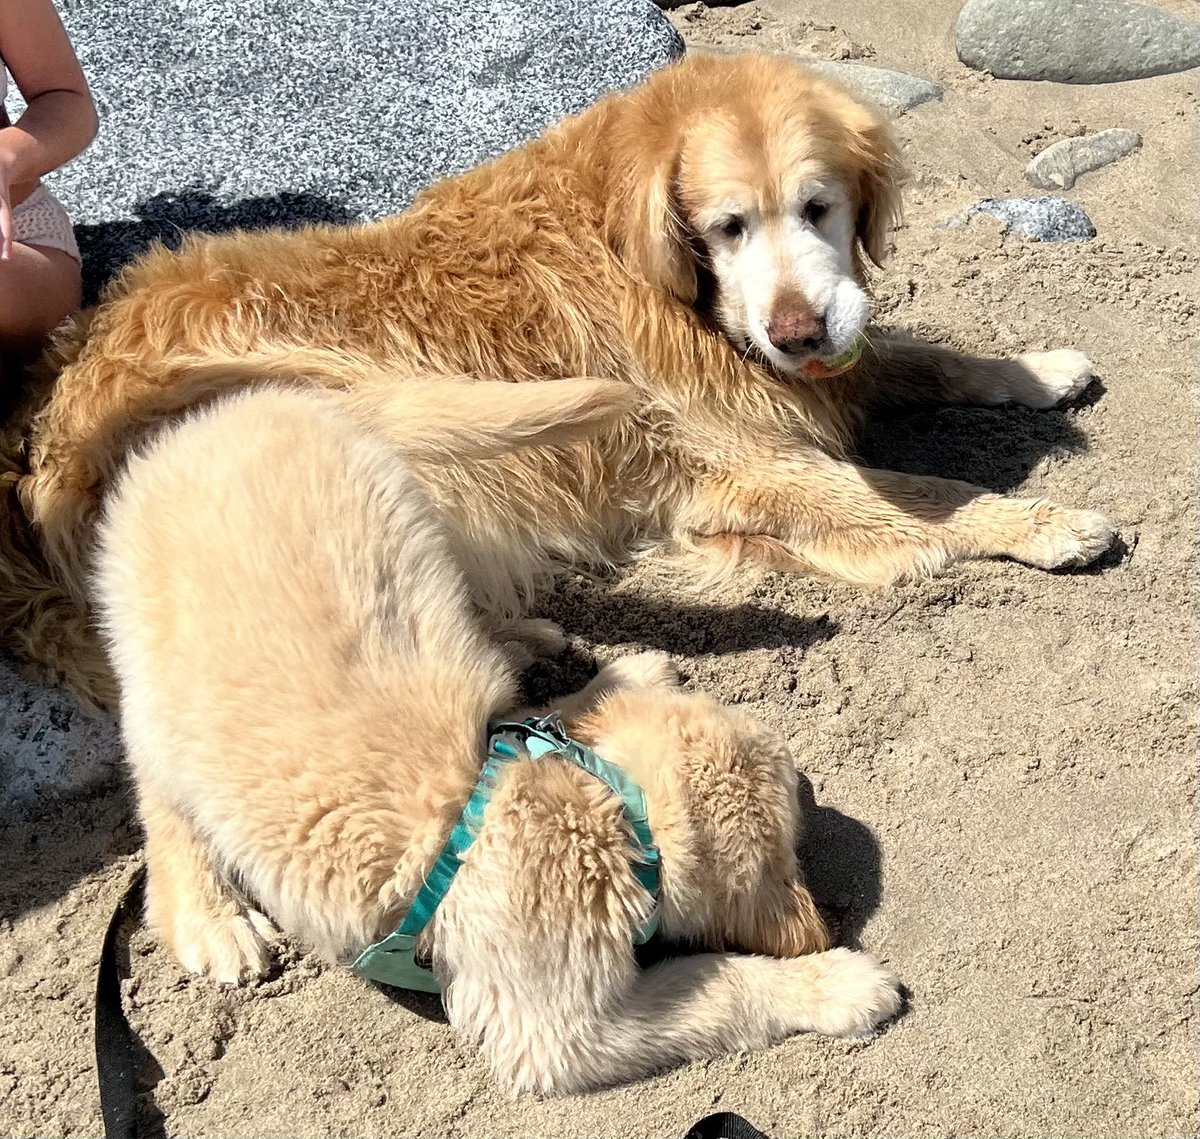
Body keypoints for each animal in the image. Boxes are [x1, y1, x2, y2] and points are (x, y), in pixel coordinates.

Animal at [0, 55, 1108, 710]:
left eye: (819, 207)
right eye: (728, 226)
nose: (793, 331)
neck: (656, 268)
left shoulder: (802, 371)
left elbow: (917, 356)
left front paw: (1037, 369)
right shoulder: (742, 448)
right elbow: (931, 492)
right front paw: (1041, 521)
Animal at [96, 381, 902, 1094]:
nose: (807, 782)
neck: (598, 800)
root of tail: (250, 403)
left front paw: (618, 681)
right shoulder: (555, 1030)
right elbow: (730, 982)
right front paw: (837, 984)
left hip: (414, 523)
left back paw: (542, 648)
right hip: (149, 672)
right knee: (158, 794)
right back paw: (211, 918)